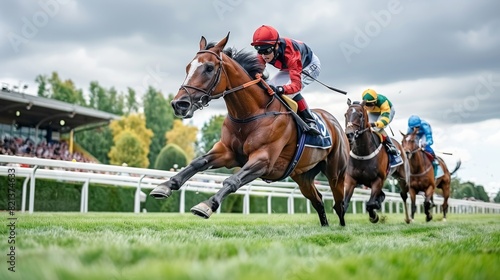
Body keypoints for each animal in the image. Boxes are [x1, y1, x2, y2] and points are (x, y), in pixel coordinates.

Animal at [150, 32, 350, 228]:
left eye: (209, 68)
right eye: (187, 67)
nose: (179, 104)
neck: (251, 113)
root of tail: (335, 123)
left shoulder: (264, 159)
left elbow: (233, 180)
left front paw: (207, 205)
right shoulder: (227, 152)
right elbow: (197, 163)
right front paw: (165, 185)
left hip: (336, 173)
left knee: (339, 203)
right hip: (302, 175)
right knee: (318, 200)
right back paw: (325, 226)